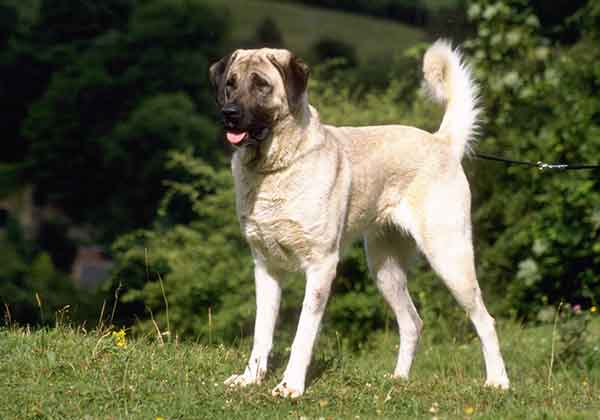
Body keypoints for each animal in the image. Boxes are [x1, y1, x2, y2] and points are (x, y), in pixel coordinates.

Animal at [209, 39, 508, 398]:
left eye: (261, 85)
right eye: (230, 84)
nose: (228, 115)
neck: (275, 167)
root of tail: (441, 142)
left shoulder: (321, 266)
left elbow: (303, 333)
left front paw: (290, 385)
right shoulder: (266, 268)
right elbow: (261, 332)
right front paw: (250, 378)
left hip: (450, 258)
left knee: (485, 320)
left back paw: (498, 381)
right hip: (384, 269)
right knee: (412, 322)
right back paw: (398, 379)